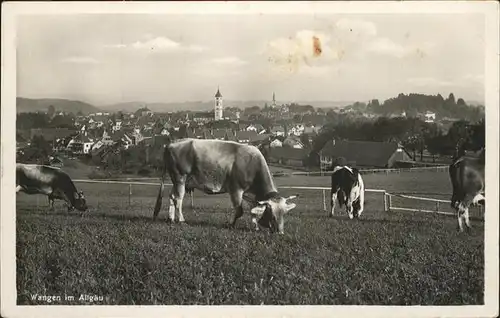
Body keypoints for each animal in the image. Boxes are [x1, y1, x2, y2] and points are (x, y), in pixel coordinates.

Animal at [152, 139, 296, 234]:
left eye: (284, 213)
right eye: (272, 214)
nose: (280, 232)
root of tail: (171, 144)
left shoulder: (249, 194)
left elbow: (253, 210)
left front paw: (255, 226)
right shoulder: (236, 190)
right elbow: (239, 211)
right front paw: (230, 224)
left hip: (175, 180)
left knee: (172, 196)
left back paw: (171, 218)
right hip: (180, 178)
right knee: (178, 199)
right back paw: (181, 220)